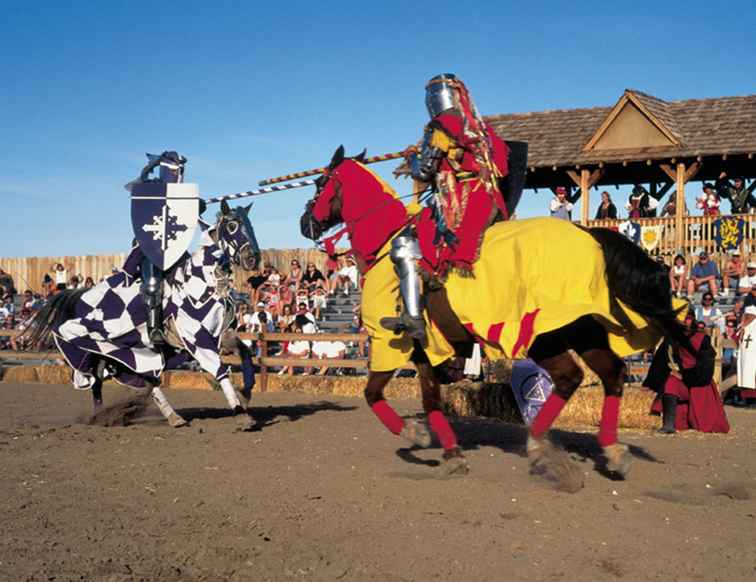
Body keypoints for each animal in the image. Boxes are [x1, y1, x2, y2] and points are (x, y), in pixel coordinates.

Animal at [28, 202, 262, 434]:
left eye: (250, 225)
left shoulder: (219, 334)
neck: (203, 282)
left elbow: (245, 352)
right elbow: (220, 369)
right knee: (101, 381)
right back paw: (104, 417)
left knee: (138, 381)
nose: (253, 259)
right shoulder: (197, 340)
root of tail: (80, 296)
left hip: (126, 354)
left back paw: (166, 416)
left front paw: (247, 392)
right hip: (101, 349)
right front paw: (241, 414)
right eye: (232, 225)